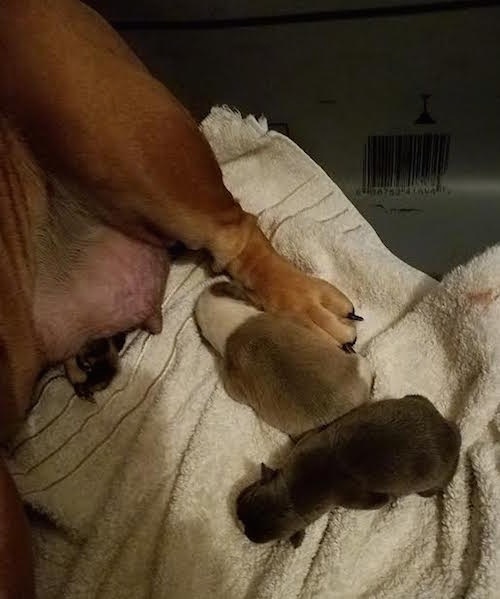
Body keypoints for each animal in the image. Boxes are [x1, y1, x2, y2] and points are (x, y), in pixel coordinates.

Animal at [237, 396, 460, 552]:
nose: (244, 530)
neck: (292, 494)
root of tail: (450, 431)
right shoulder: (307, 442)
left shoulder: (347, 498)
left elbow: (377, 501)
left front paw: (388, 501)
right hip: (416, 400)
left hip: (431, 484)